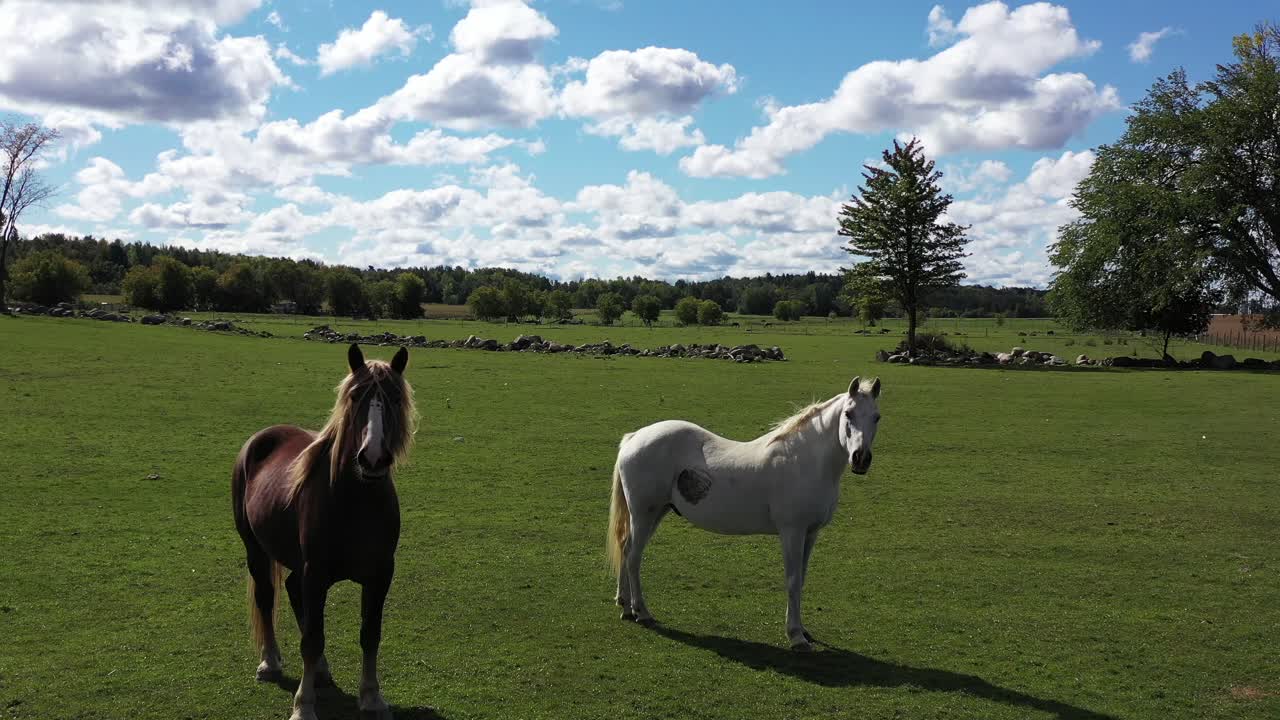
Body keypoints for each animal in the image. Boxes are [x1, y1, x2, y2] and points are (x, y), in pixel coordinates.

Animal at [232, 344, 415, 720]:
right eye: (356, 396)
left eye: (394, 397)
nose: (373, 458)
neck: (356, 501)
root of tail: (260, 439)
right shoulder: (315, 573)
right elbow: (312, 639)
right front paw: (303, 705)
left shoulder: (381, 574)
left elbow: (370, 633)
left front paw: (372, 697)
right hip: (255, 550)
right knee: (267, 596)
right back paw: (270, 662)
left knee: (292, 591)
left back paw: (320, 670)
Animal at [606, 376, 882, 651]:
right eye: (848, 413)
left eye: (877, 417)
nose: (860, 459)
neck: (804, 461)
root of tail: (634, 437)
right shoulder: (792, 532)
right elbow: (792, 580)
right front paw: (796, 636)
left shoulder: (811, 533)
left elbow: (801, 579)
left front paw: (803, 629)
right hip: (644, 514)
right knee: (633, 557)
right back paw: (642, 612)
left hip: (655, 513)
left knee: (626, 548)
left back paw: (625, 605)